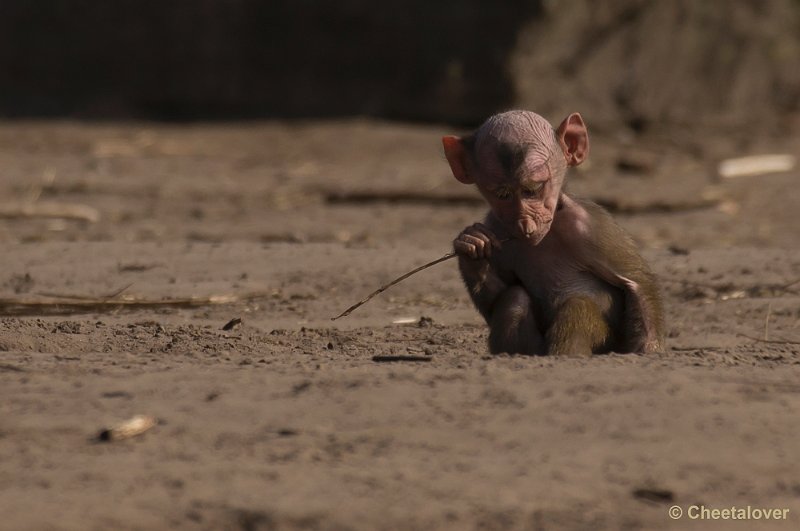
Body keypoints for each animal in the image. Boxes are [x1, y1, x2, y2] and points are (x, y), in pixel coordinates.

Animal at [444, 109, 664, 356]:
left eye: (533, 189)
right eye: (502, 194)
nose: (524, 223)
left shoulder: (590, 227)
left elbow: (637, 283)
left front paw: (648, 349)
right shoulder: (495, 226)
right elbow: (494, 301)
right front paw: (472, 246)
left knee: (579, 304)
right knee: (514, 299)